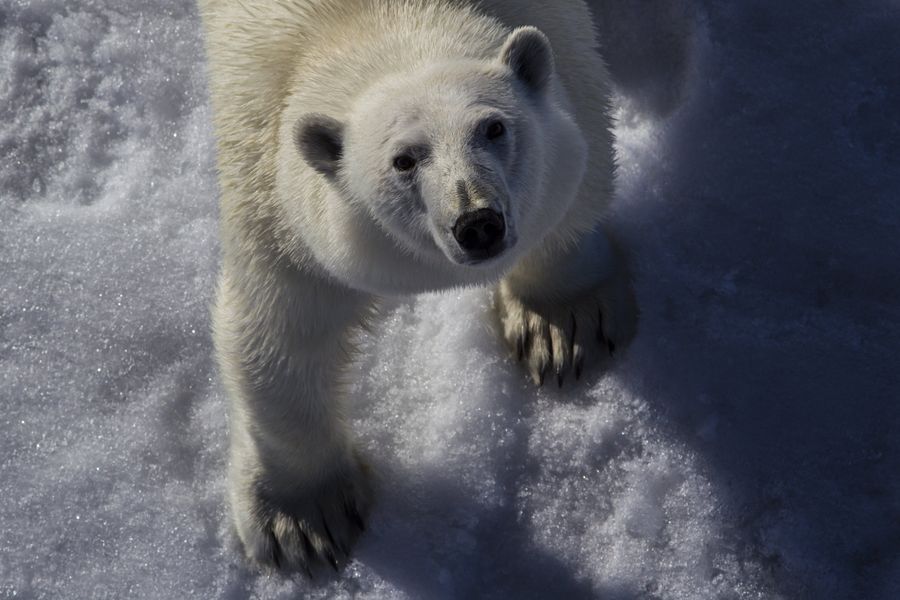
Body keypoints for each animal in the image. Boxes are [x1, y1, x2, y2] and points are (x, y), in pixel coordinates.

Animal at [199, 0, 638, 573]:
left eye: (493, 127)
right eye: (404, 159)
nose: (477, 222)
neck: (370, 20)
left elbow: (573, 191)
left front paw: (562, 326)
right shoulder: (272, 178)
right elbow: (280, 329)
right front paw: (304, 523)